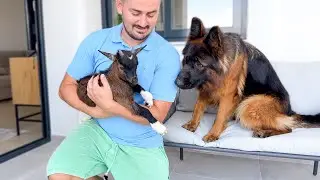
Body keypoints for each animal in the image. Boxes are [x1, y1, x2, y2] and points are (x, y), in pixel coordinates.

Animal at [175, 17, 320, 143]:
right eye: (185, 60)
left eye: (199, 64)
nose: (177, 83)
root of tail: (289, 110)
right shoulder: (207, 88)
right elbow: (198, 107)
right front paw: (192, 124)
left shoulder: (227, 95)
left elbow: (220, 116)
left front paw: (213, 133)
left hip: (247, 106)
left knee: (288, 128)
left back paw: (265, 132)